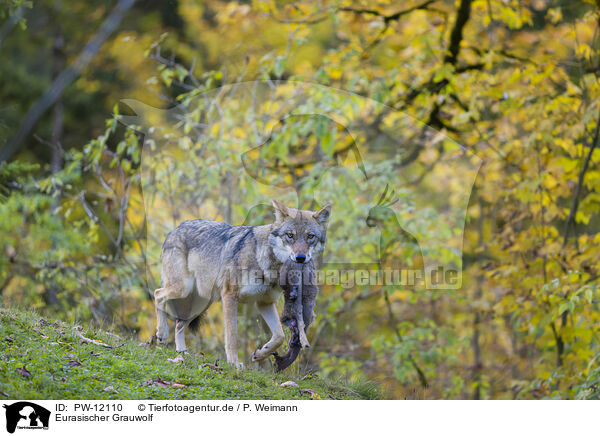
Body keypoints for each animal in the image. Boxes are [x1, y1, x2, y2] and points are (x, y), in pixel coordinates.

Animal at [152, 200, 330, 368]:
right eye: (290, 235)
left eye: (310, 236)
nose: (300, 257)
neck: (265, 261)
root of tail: (175, 229)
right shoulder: (230, 296)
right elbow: (232, 336)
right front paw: (234, 363)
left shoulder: (264, 303)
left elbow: (279, 336)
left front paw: (260, 354)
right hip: (183, 289)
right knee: (158, 294)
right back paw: (162, 334)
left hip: (201, 302)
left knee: (179, 324)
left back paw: (181, 353)